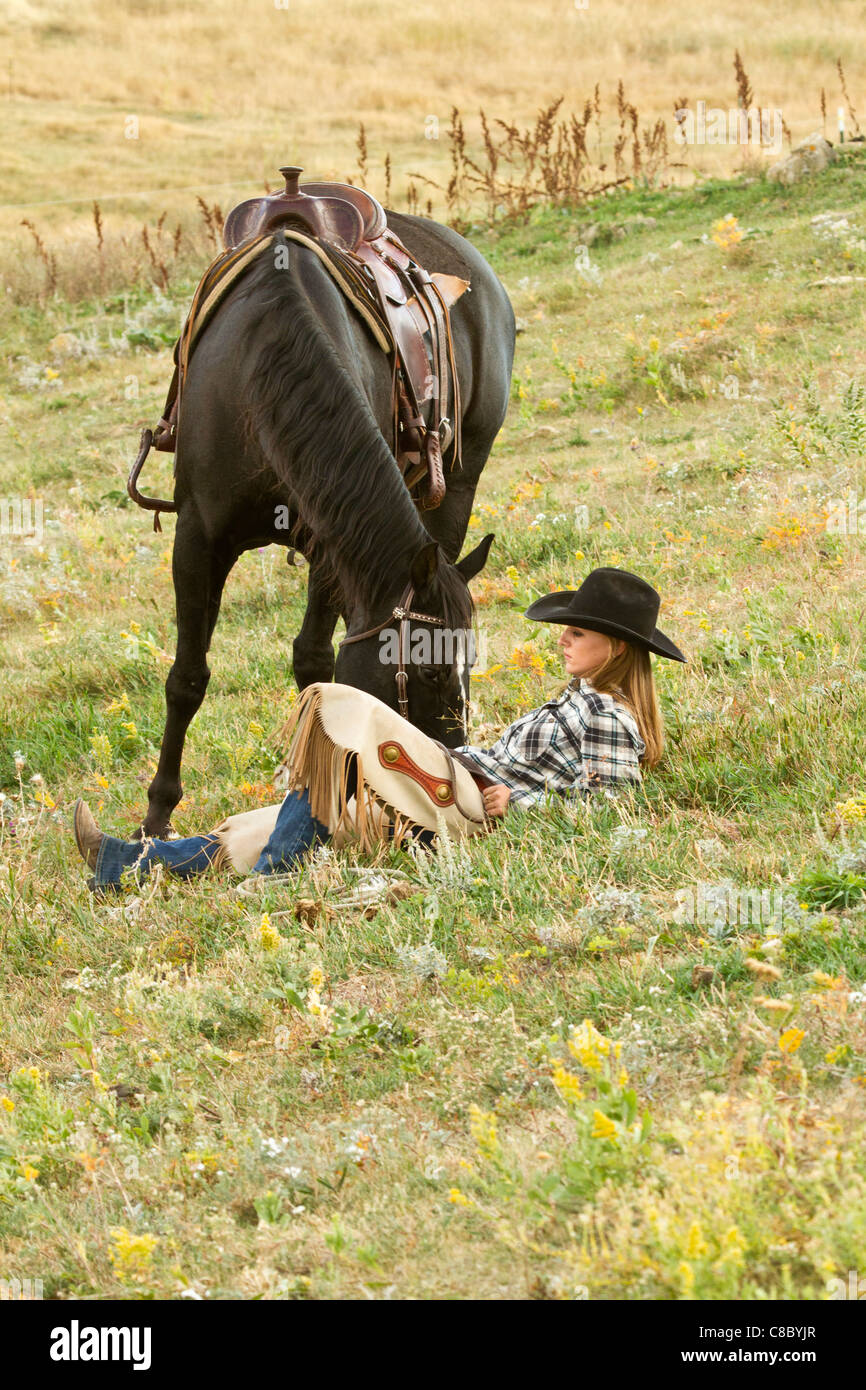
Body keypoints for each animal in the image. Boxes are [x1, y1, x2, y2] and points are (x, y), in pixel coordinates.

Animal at [143, 208, 514, 834]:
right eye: (431, 673)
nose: (465, 783)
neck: (263, 359)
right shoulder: (197, 538)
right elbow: (187, 677)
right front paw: (155, 819)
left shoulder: (330, 542)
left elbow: (315, 663)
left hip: (459, 487)